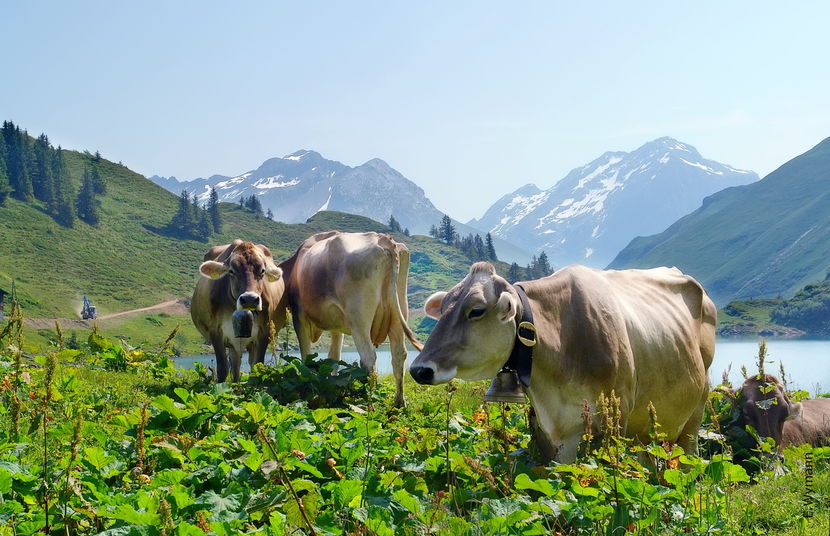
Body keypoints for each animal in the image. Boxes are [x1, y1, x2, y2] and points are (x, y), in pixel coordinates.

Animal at [282, 230, 426, 406]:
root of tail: (383, 238)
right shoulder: (336, 325)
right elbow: (334, 358)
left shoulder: (299, 316)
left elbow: (306, 358)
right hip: (399, 311)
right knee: (399, 355)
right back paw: (399, 403)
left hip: (359, 318)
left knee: (368, 357)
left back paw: (368, 402)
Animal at [412, 262, 720, 460]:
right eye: (444, 309)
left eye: (476, 310)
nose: (418, 369)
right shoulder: (551, 431)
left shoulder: (616, 414)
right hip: (646, 430)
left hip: (696, 411)